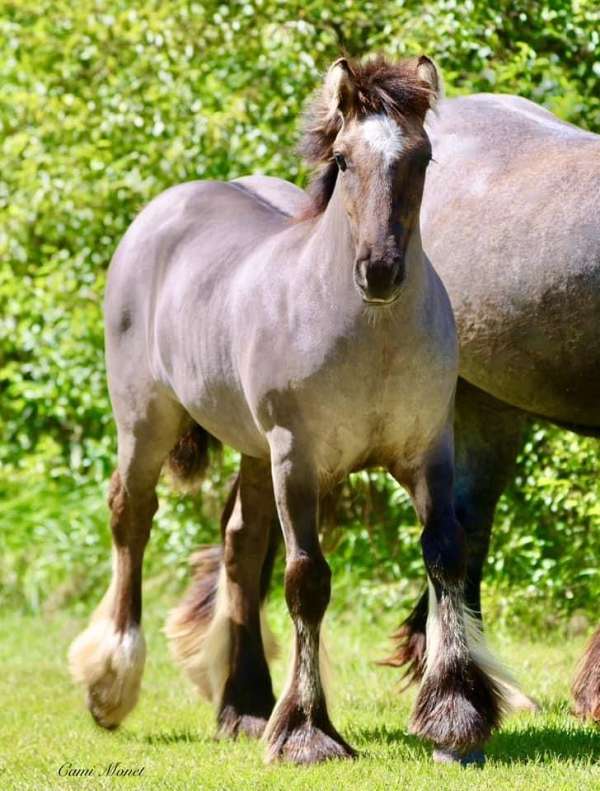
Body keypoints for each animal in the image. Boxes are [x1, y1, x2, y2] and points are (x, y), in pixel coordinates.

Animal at [68, 57, 516, 768]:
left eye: (422, 157)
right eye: (344, 158)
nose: (380, 271)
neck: (373, 338)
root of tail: (162, 213)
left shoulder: (428, 452)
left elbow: (445, 552)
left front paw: (454, 718)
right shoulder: (297, 460)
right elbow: (307, 581)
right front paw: (308, 733)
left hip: (252, 451)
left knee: (240, 544)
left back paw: (246, 704)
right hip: (146, 422)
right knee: (131, 518)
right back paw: (112, 683)